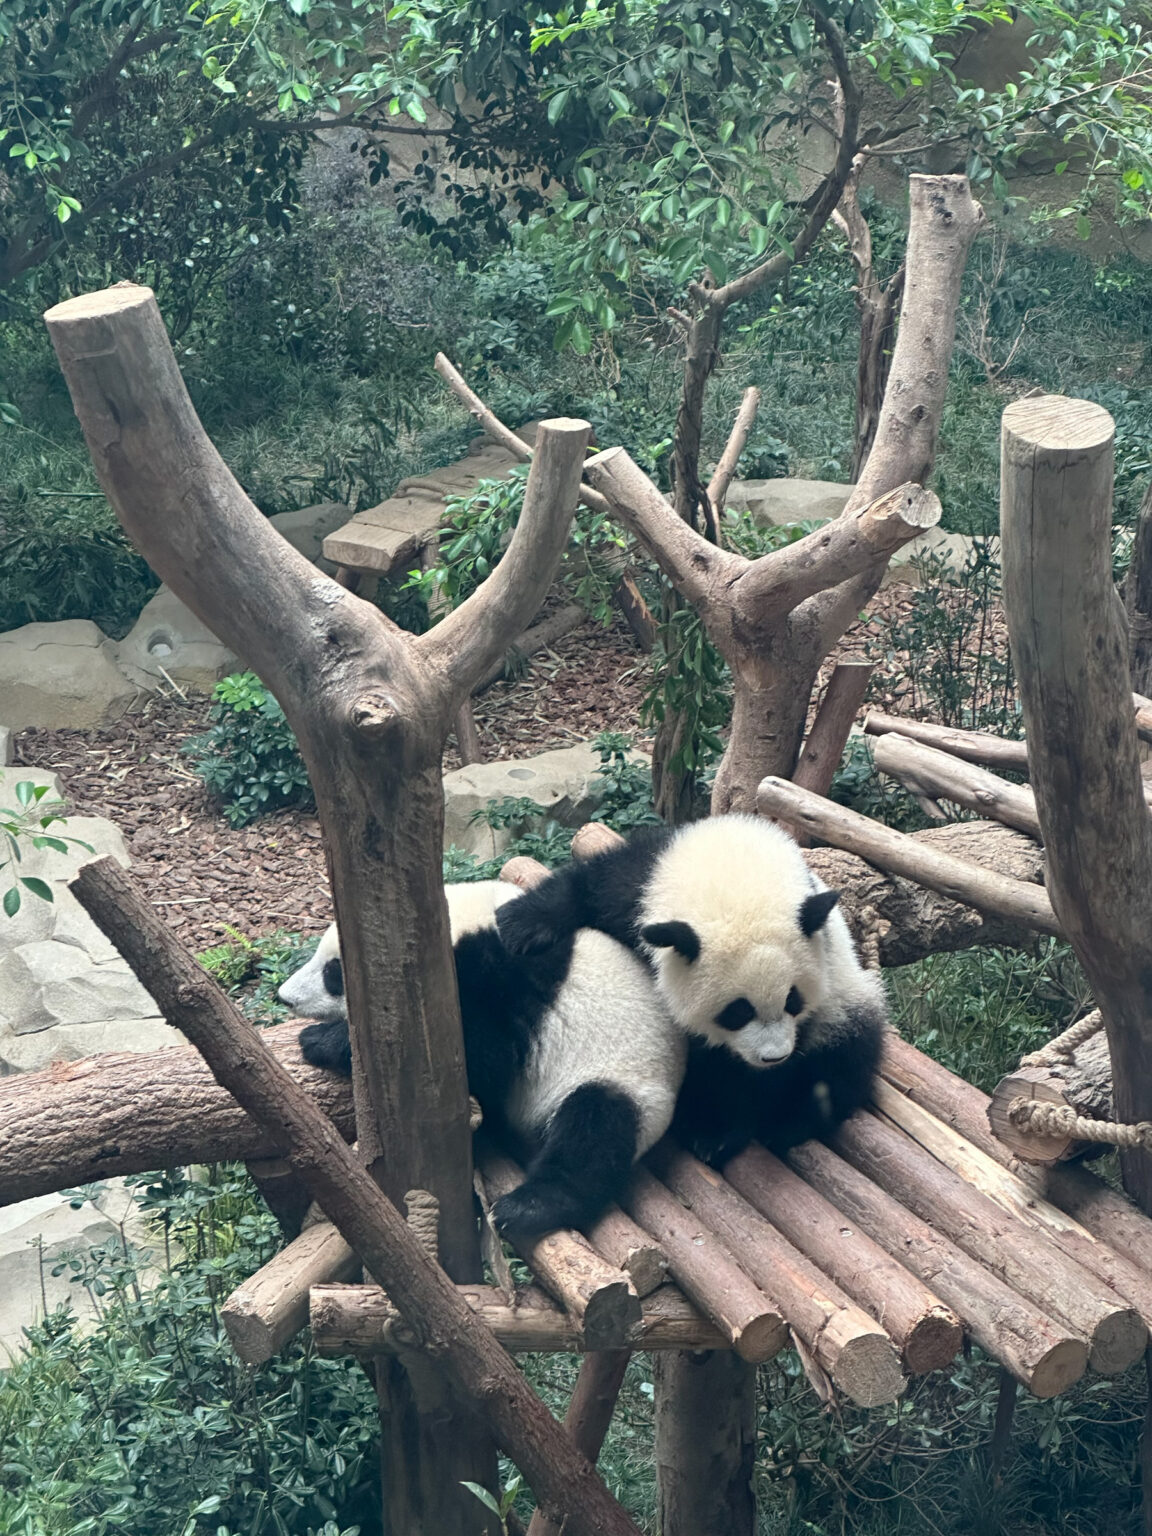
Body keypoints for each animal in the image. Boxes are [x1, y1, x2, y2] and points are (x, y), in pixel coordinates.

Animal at [282, 880, 686, 1239]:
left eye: (333, 972)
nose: (285, 997)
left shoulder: (505, 982)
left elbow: (482, 1056)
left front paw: (321, 1040)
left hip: (625, 1082)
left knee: (592, 1131)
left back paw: (524, 1209)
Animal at [495, 814, 888, 1165]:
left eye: (793, 1000)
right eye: (738, 1011)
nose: (773, 1057)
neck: (733, 871)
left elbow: (741, 1077)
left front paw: (716, 1132)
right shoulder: (645, 877)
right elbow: (588, 887)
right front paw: (520, 925)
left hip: (845, 999)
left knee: (841, 1060)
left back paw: (787, 1123)